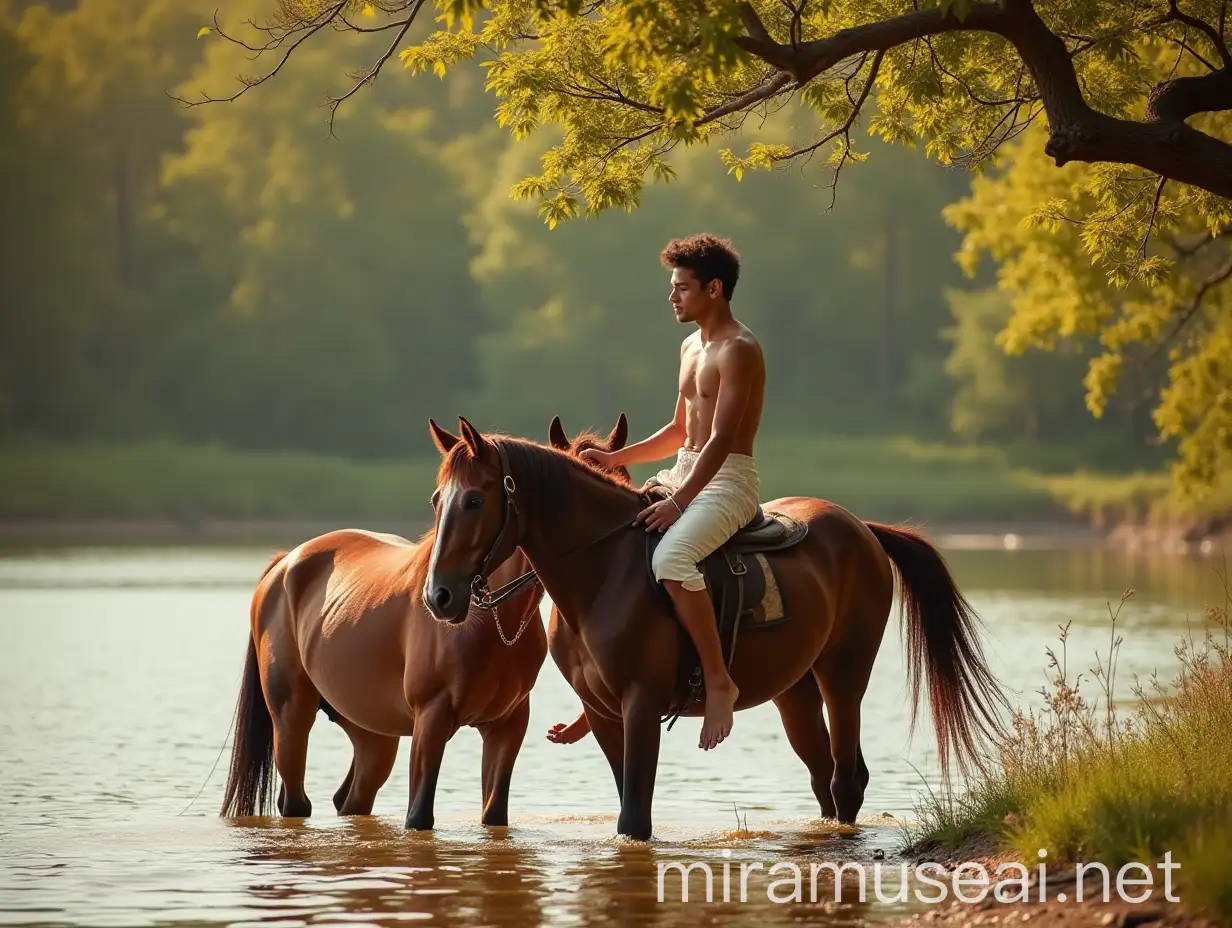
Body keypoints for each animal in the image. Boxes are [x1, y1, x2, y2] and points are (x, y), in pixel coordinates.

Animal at [221, 522, 549, 833]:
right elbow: (419, 814)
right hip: (290, 722)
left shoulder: (507, 725)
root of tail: (283, 563)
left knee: (350, 798)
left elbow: (494, 815)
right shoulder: (432, 717)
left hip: (372, 733)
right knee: (296, 802)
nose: (441, 600)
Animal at [423, 419, 1010, 838]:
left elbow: (635, 820)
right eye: (436, 500)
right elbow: (627, 804)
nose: (439, 596)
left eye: (474, 499)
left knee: (847, 779)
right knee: (824, 777)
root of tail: (861, 528)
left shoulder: (641, 704)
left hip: (844, 676)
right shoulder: (605, 712)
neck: (605, 570)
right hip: (795, 692)